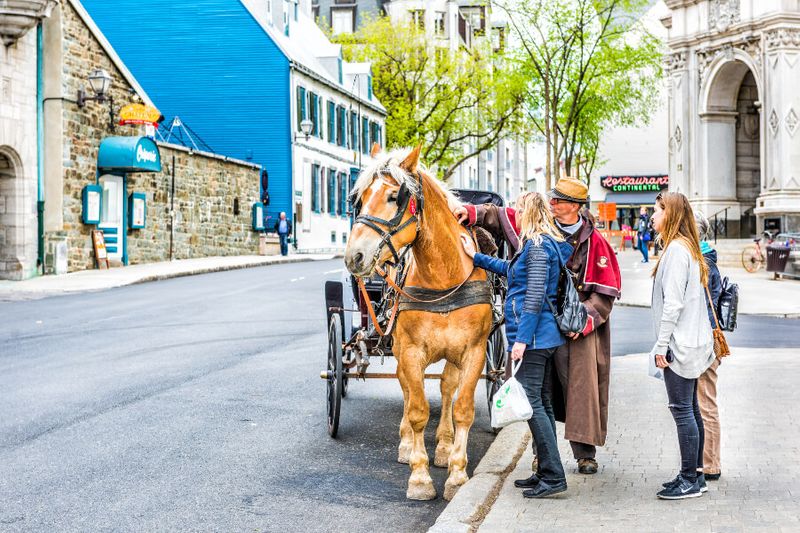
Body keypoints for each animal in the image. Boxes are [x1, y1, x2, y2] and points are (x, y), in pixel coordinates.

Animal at [344, 144, 494, 498]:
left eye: (393, 196)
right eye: (359, 198)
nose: (354, 256)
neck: (443, 277)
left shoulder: (474, 351)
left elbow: (462, 408)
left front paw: (456, 472)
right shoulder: (410, 350)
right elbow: (417, 409)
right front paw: (420, 476)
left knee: (446, 387)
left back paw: (444, 445)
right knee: (407, 389)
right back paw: (406, 445)